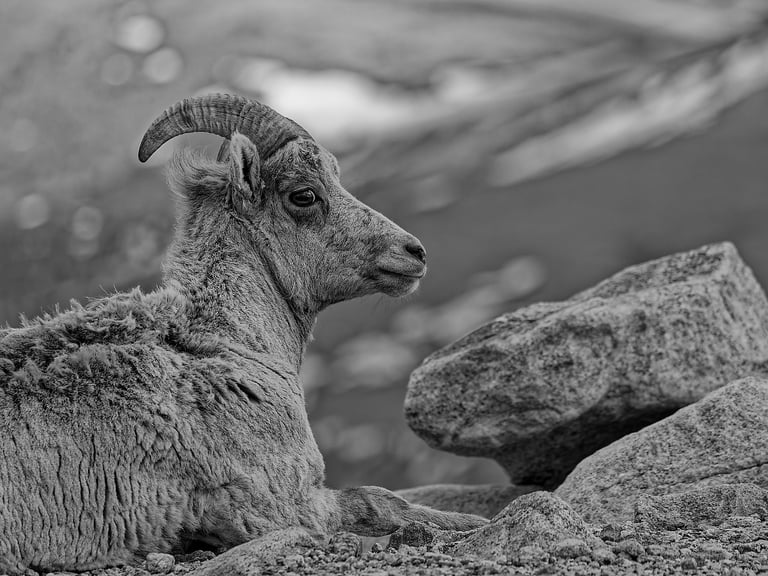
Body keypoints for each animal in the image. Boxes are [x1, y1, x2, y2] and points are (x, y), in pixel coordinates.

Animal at [0, 93, 486, 575]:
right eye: (304, 194)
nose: (414, 252)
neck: (231, 343)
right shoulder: (279, 504)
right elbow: (377, 502)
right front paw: (470, 521)